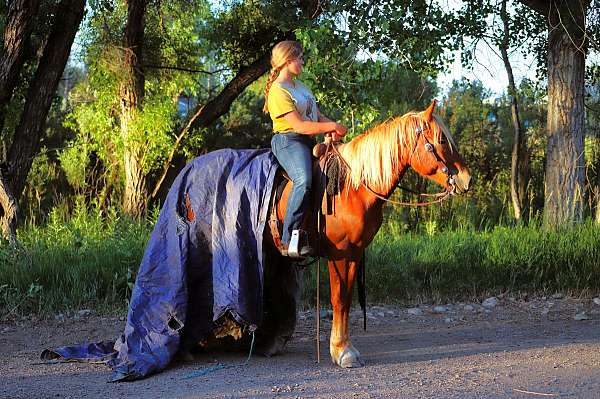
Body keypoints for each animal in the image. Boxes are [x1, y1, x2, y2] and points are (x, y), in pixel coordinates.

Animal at [260, 101, 472, 368]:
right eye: (442, 140)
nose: (467, 179)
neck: (353, 187)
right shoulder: (339, 254)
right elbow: (339, 299)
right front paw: (342, 352)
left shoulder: (354, 253)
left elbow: (347, 300)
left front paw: (344, 347)